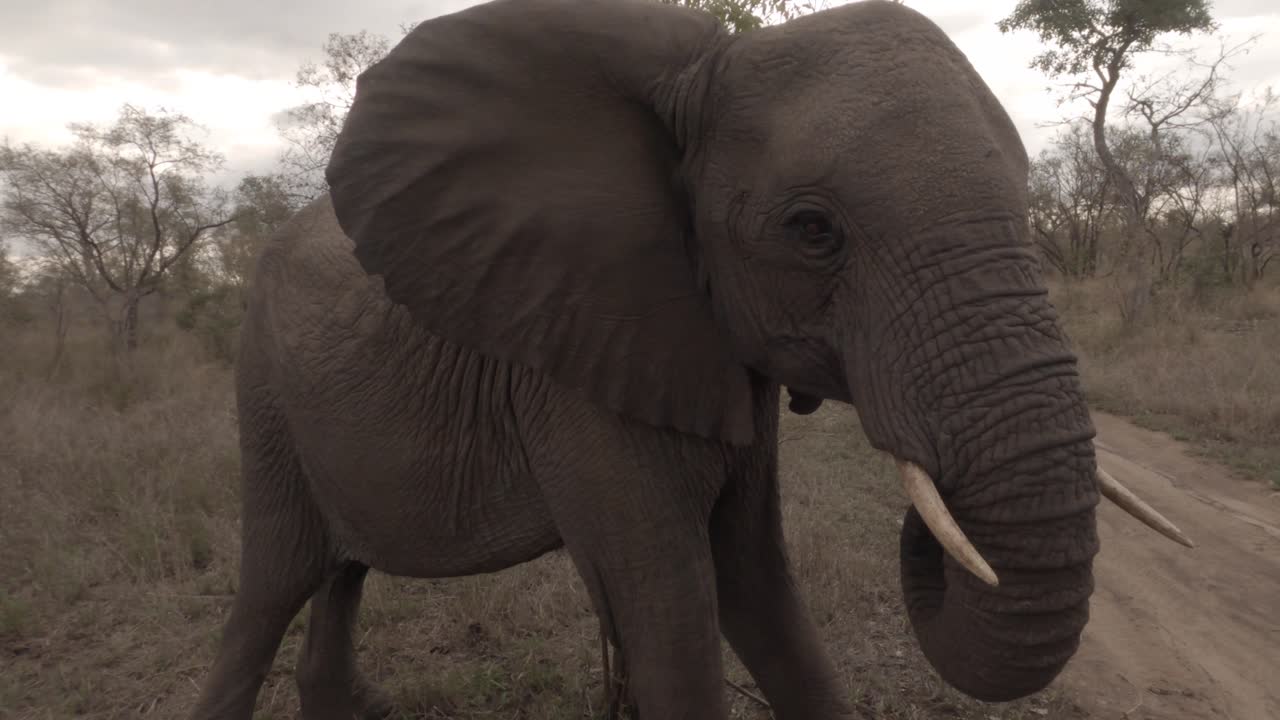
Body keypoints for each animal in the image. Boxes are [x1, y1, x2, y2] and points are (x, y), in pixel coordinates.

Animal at [190, 0, 1190, 717]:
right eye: (812, 230)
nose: (932, 520)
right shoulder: (579, 365)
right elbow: (670, 608)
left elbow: (758, 586)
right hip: (263, 393)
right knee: (273, 584)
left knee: (341, 574)